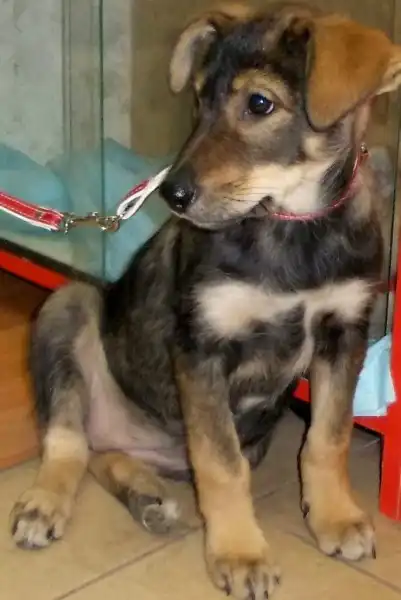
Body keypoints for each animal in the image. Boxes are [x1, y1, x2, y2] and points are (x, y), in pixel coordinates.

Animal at [10, 3, 401, 599]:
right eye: (198, 100)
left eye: (259, 104)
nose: (172, 194)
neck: (292, 226)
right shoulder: (201, 347)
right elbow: (222, 465)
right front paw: (240, 554)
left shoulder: (344, 333)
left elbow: (327, 439)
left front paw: (335, 518)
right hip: (67, 305)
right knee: (68, 440)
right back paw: (44, 503)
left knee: (104, 453)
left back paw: (146, 494)